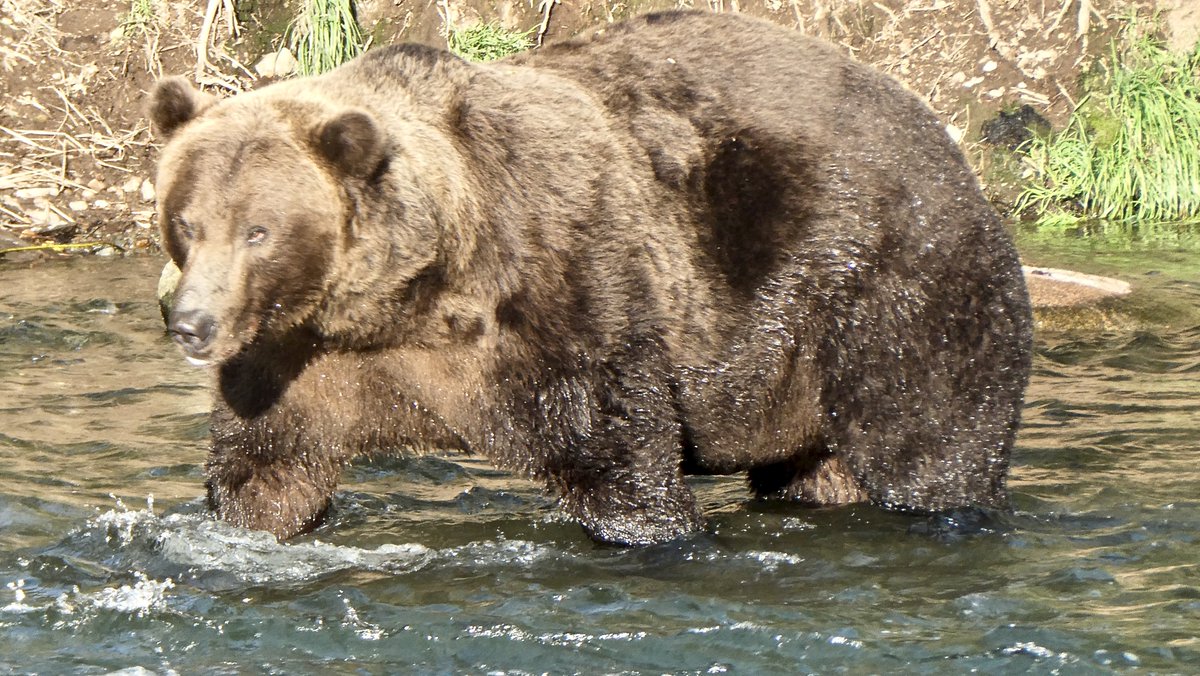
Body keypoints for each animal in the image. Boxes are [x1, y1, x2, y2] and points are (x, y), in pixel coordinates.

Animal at [150, 9, 1032, 545]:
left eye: (259, 229)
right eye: (187, 221)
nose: (190, 323)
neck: (409, 301)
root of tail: (942, 137)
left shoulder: (562, 304)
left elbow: (620, 459)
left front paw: (655, 531)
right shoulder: (300, 362)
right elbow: (266, 470)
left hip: (891, 289)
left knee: (928, 443)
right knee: (814, 471)